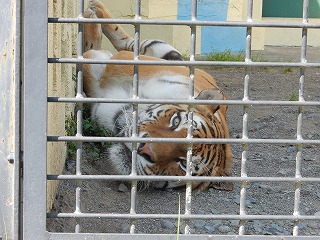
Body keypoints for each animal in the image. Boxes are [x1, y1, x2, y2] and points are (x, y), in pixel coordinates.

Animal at [82, 0, 232, 191]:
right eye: (176, 121)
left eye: (184, 164)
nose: (144, 150)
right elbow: (89, 56)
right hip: (156, 48)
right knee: (129, 42)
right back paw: (95, 10)